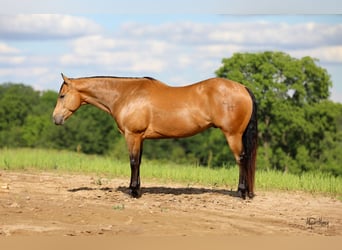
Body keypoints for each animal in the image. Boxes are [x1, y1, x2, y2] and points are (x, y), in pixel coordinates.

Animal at [52, 73, 256, 199]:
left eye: (62, 96)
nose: (55, 118)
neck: (126, 95)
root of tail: (243, 88)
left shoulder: (132, 136)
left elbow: (133, 162)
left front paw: (133, 192)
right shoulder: (140, 138)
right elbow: (139, 162)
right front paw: (137, 188)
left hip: (233, 135)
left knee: (241, 159)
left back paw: (241, 193)